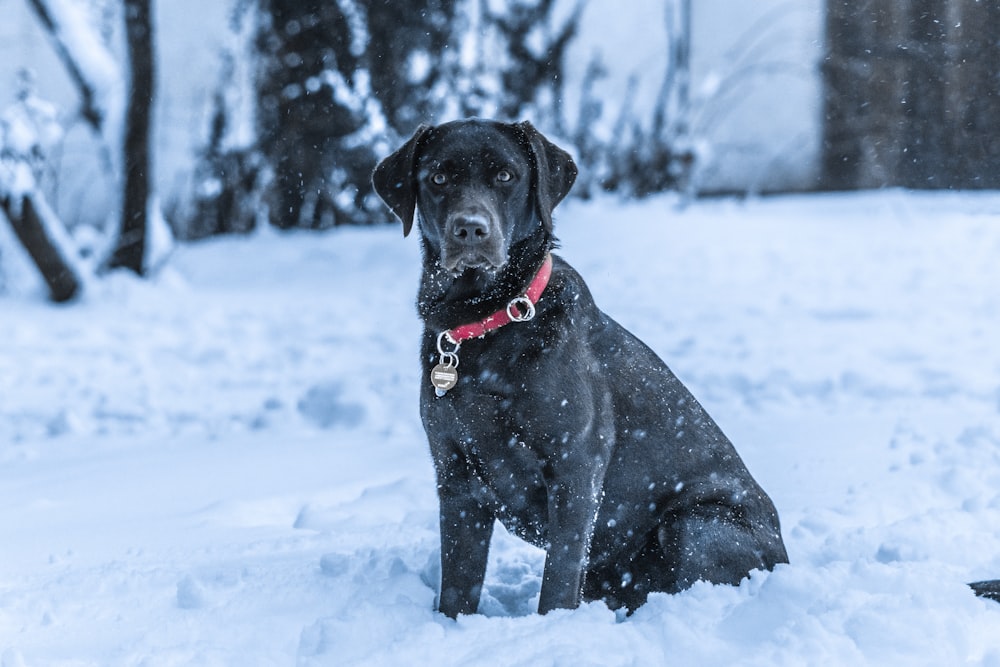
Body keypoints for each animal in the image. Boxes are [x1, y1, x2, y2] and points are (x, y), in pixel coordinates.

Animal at [374, 118, 788, 616]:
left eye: (506, 176)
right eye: (438, 177)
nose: (470, 230)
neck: (486, 322)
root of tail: (785, 555)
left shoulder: (575, 467)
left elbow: (558, 578)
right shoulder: (454, 475)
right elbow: (457, 583)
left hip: (696, 523)